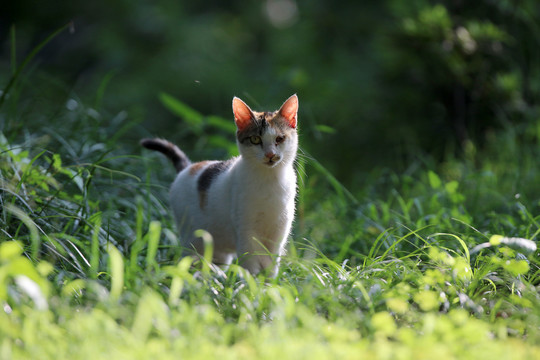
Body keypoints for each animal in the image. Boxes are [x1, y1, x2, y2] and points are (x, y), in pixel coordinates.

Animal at [140, 93, 300, 276]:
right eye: (255, 139)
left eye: (280, 139)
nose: (270, 155)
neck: (269, 180)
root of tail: (188, 167)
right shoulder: (246, 233)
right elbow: (251, 265)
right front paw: (251, 283)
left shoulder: (277, 235)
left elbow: (271, 267)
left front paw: (268, 283)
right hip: (191, 240)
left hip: (219, 251)